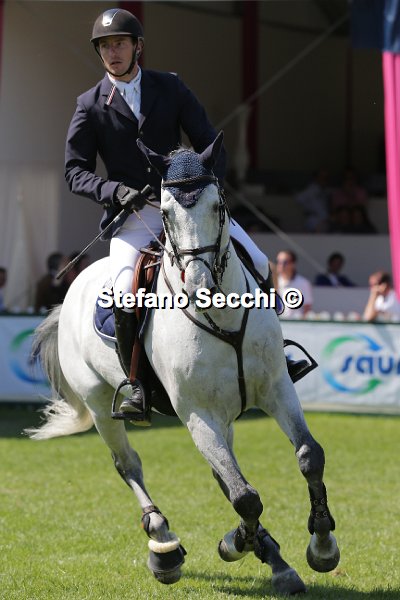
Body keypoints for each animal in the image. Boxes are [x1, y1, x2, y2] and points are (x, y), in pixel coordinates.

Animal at [27, 132, 339, 595]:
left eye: (218, 205)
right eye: (166, 212)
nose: (199, 286)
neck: (221, 315)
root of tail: (72, 290)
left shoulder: (276, 389)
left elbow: (307, 457)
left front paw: (321, 546)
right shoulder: (196, 413)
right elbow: (245, 495)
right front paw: (236, 544)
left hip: (225, 414)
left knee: (222, 474)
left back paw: (270, 557)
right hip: (101, 405)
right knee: (129, 464)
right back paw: (164, 547)